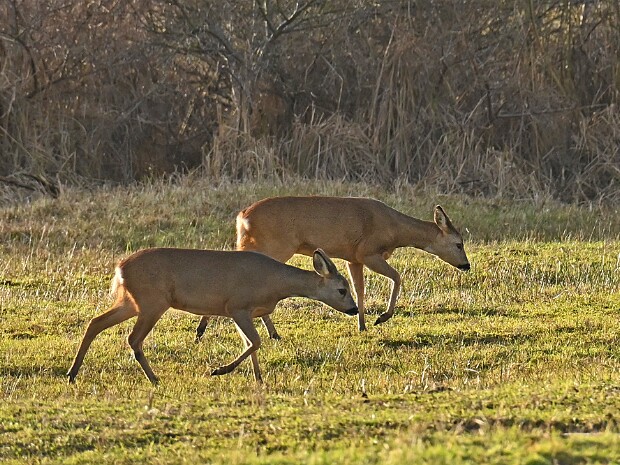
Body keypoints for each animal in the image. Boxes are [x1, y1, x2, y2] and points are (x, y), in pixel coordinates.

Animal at [65, 246, 356, 384]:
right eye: (342, 290)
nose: (354, 309)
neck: (275, 284)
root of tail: (120, 268)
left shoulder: (238, 311)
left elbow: (251, 343)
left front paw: (258, 378)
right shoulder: (238, 305)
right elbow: (255, 342)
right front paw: (220, 370)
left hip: (132, 301)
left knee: (95, 322)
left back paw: (72, 372)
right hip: (152, 302)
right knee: (133, 339)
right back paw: (155, 378)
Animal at [195, 194, 470, 338]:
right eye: (459, 243)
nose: (466, 265)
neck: (394, 229)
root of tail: (242, 218)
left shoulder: (353, 257)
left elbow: (360, 290)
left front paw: (362, 325)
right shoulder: (368, 251)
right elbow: (397, 277)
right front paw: (382, 317)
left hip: (255, 243)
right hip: (274, 245)